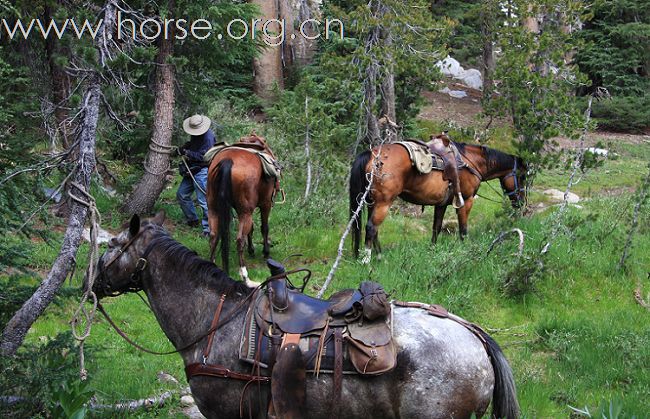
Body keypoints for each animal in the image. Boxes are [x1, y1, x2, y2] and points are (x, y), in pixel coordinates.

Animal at [206, 134, 278, 286]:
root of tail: (228, 161)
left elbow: (252, 228)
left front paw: (252, 250)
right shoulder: (266, 204)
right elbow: (264, 227)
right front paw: (265, 251)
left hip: (213, 209)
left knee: (213, 237)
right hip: (246, 212)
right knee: (239, 240)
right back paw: (245, 276)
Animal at [350, 143, 528, 264]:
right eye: (522, 176)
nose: (521, 203)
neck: (471, 162)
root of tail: (373, 155)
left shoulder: (441, 204)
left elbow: (437, 227)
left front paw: (432, 250)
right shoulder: (466, 201)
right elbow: (463, 229)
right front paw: (465, 250)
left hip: (372, 202)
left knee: (373, 229)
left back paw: (380, 256)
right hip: (384, 202)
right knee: (371, 227)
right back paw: (366, 260)